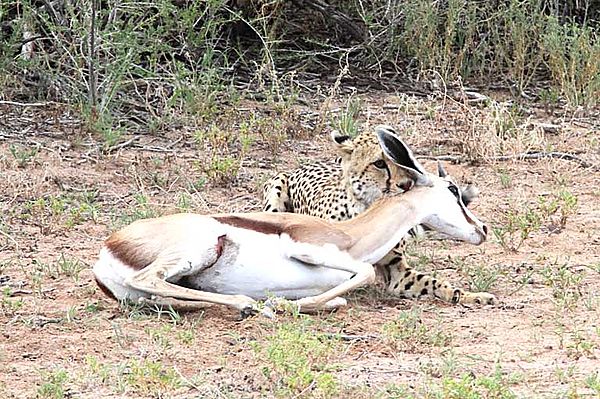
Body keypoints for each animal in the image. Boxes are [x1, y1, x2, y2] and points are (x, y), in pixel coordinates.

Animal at [262, 126, 496, 304]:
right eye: (380, 163)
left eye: (403, 165)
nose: (406, 184)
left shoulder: (399, 274)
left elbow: (435, 282)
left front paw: (473, 295)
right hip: (276, 191)